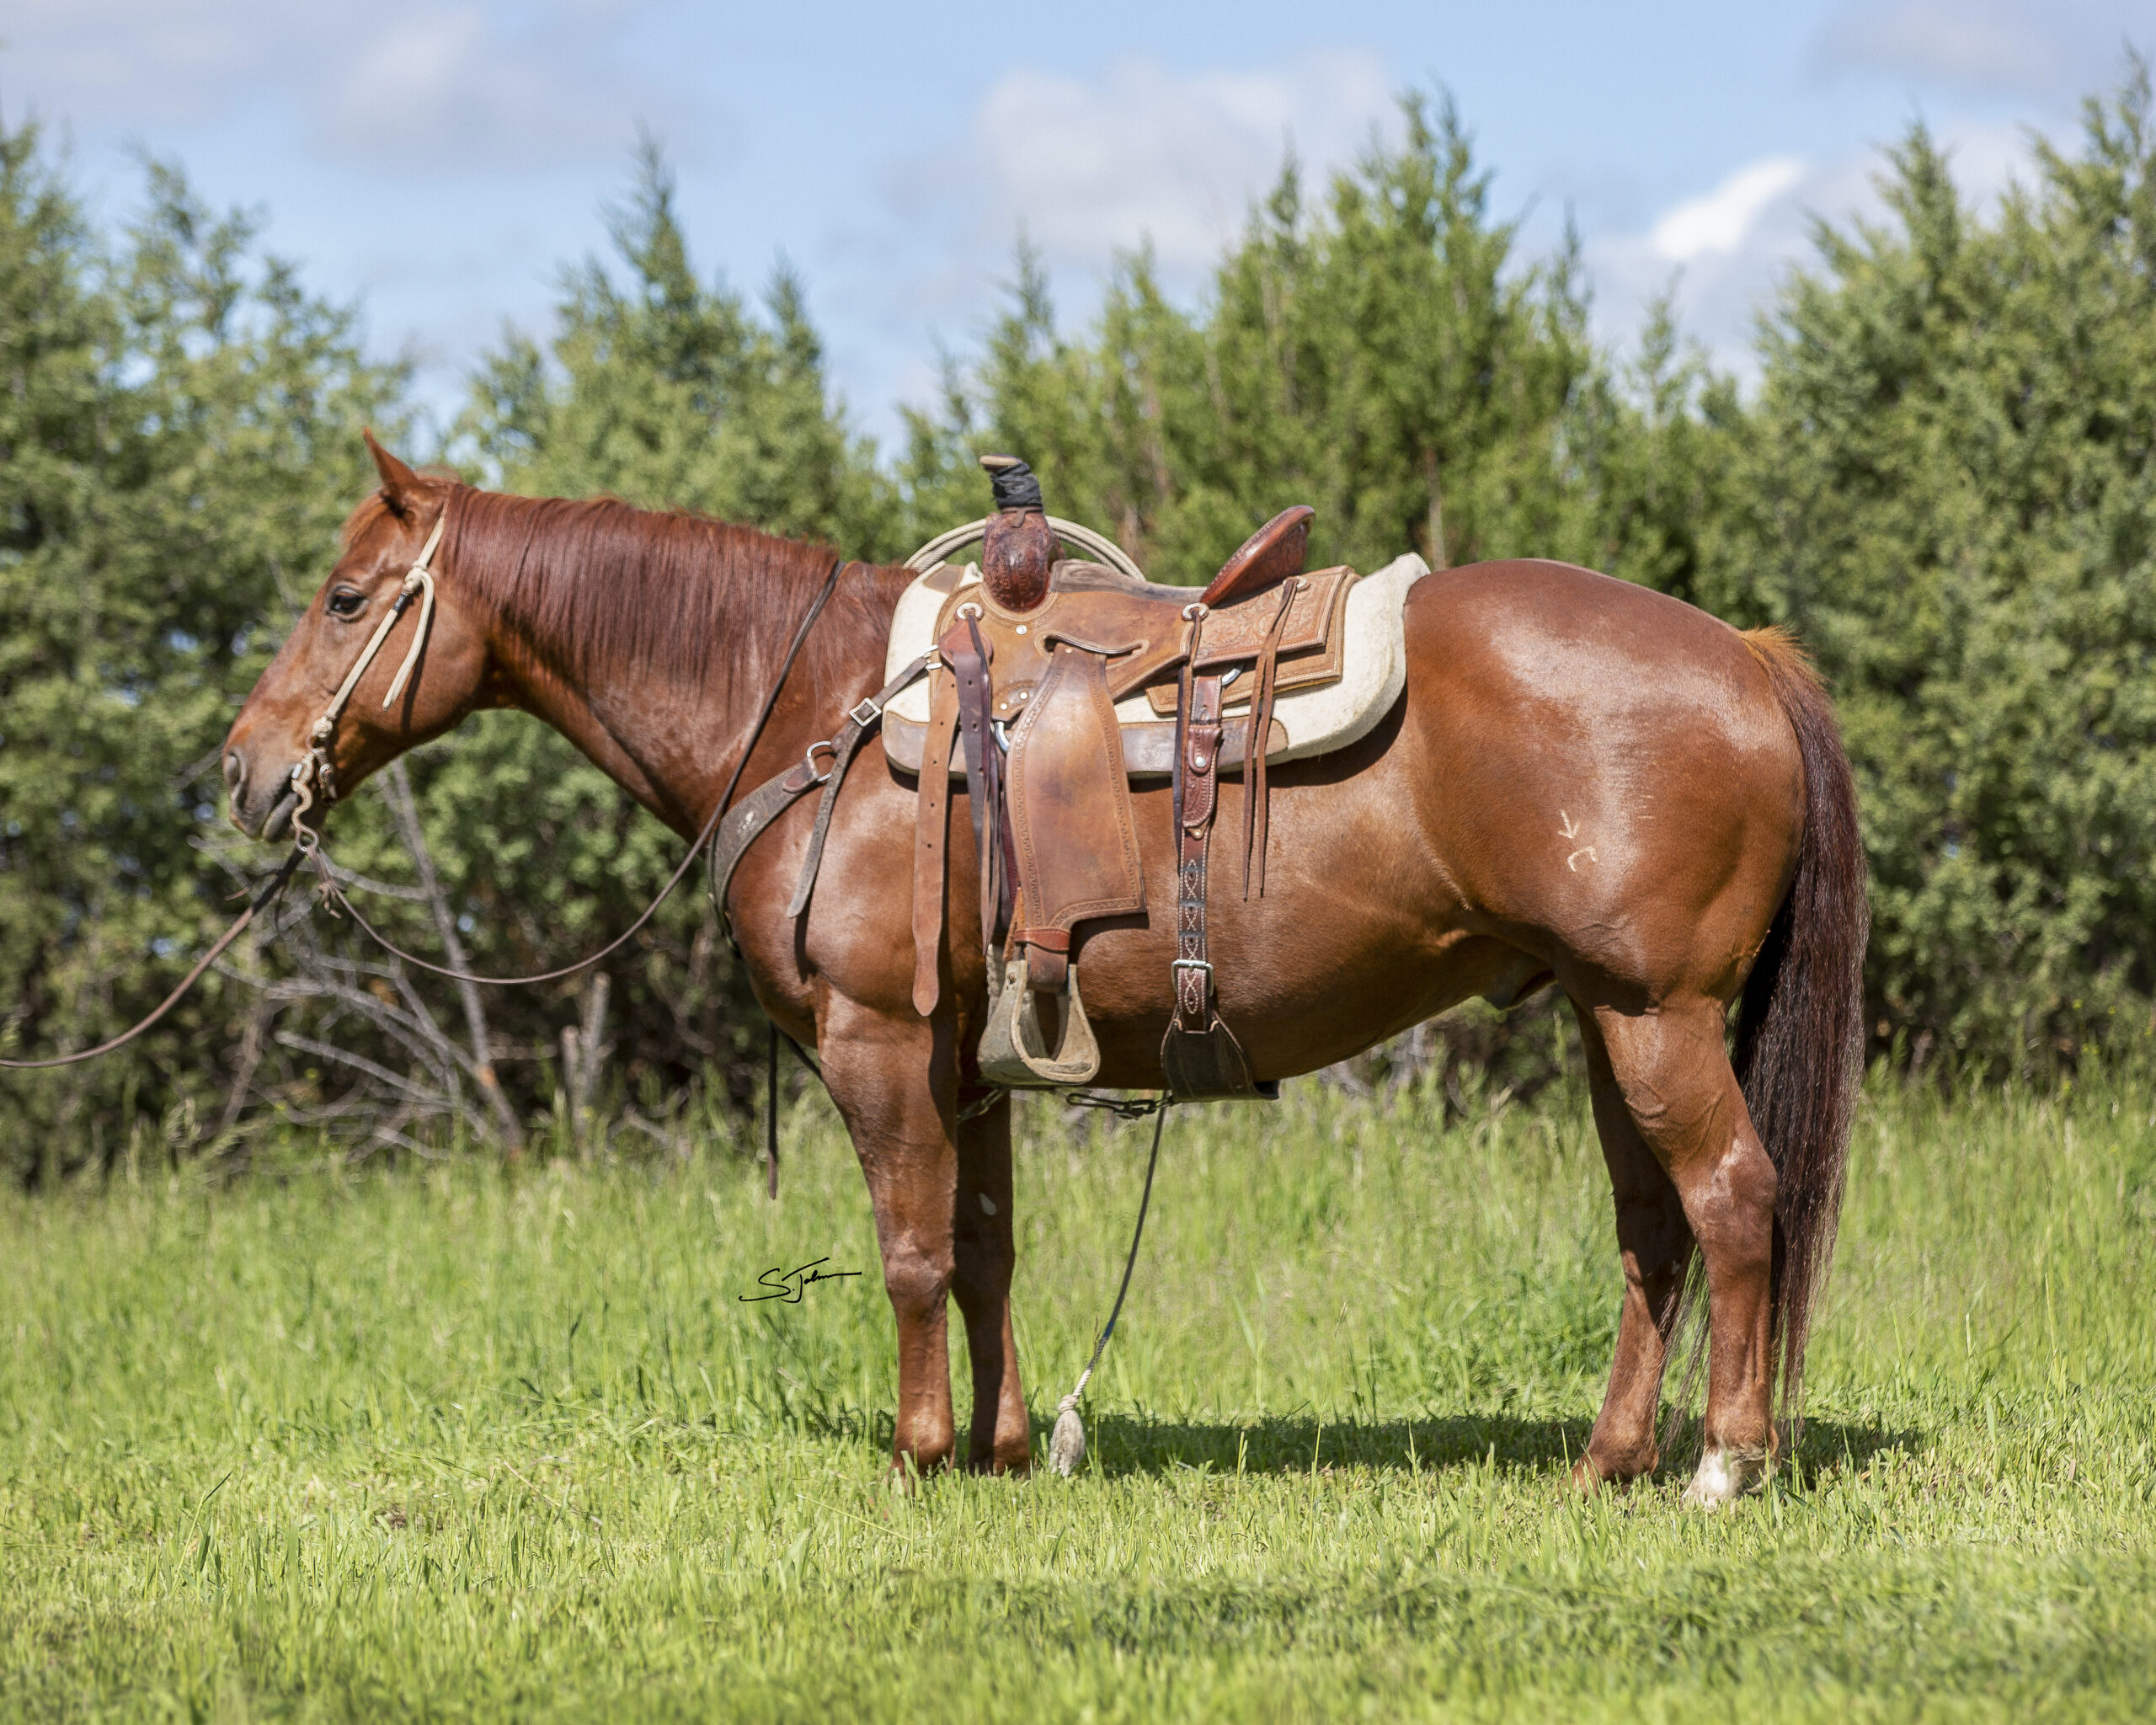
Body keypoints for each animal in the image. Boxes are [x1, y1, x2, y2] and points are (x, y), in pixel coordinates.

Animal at [223, 435, 1866, 1506]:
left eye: (349, 599)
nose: (244, 772)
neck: (807, 708)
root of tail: (1743, 652)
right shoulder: (968, 1054)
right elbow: (987, 1247)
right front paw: (1007, 1448)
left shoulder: (877, 1042)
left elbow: (910, 1248)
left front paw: (919, 1456)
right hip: (1605, 1017)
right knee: (1654, 1226)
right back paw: (1608, 1461)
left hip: (1657, 1016)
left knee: (1734, 1200)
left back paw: (1725, 1462)